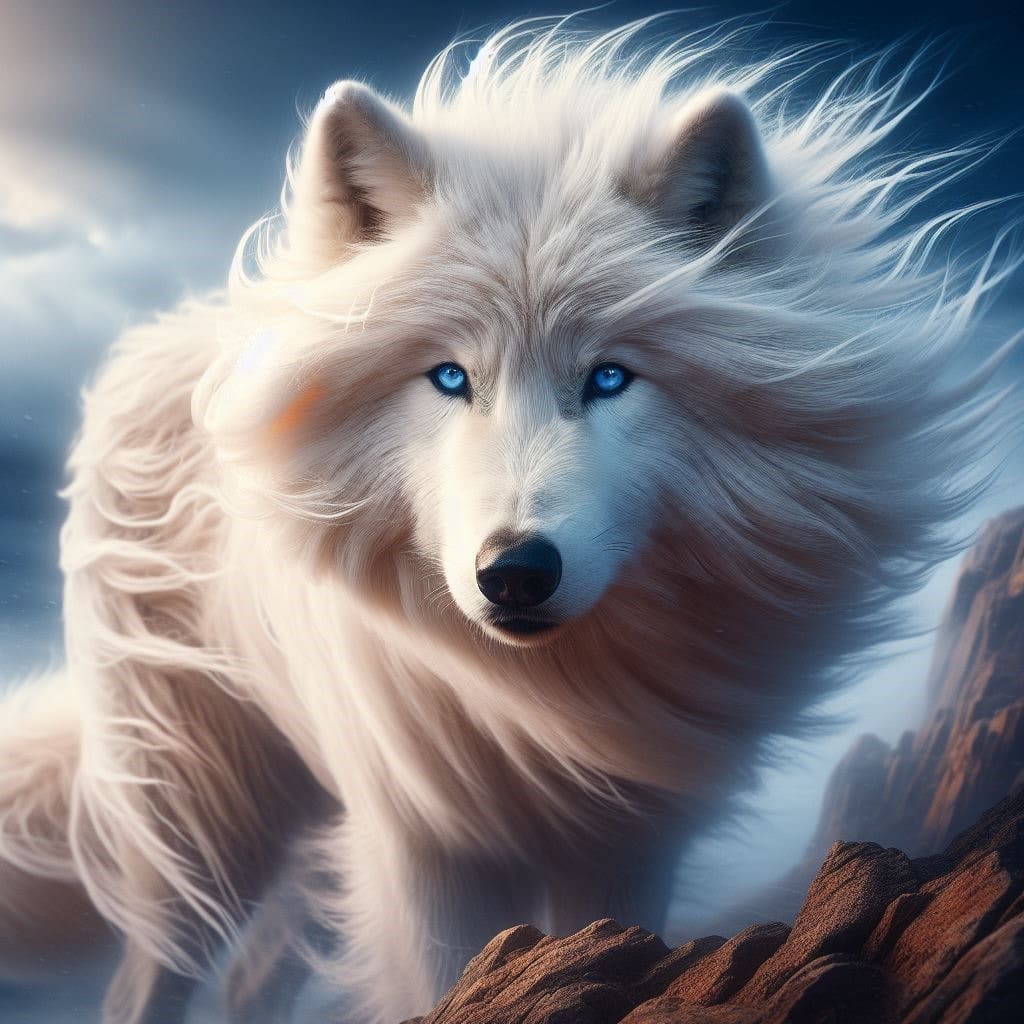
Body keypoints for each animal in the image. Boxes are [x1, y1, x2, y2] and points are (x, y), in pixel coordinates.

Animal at [0, 16, 1018, 1024]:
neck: (543, 701)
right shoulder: (425, 842)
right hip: (207, 819)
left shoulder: (627, 838)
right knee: (149, 976)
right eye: (450, 376)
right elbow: (442, 980)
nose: (517, 572)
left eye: (608, 377)